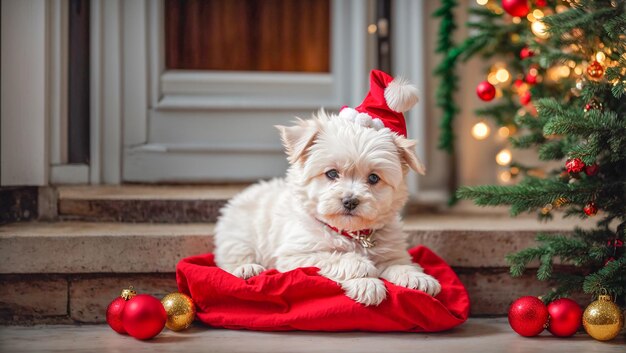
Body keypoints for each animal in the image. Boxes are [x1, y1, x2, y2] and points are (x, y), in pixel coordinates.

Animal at [214, 70, 438, 304]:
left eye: (373, 178)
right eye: (331, 173)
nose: (350, 201)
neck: (353, 235)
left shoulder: (393, 250)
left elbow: (400, 263)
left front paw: (418, 277)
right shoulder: (297, 254)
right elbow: (334, 257)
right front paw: (365, 278)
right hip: (238, 235)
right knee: (231, 258)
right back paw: (247, 269)